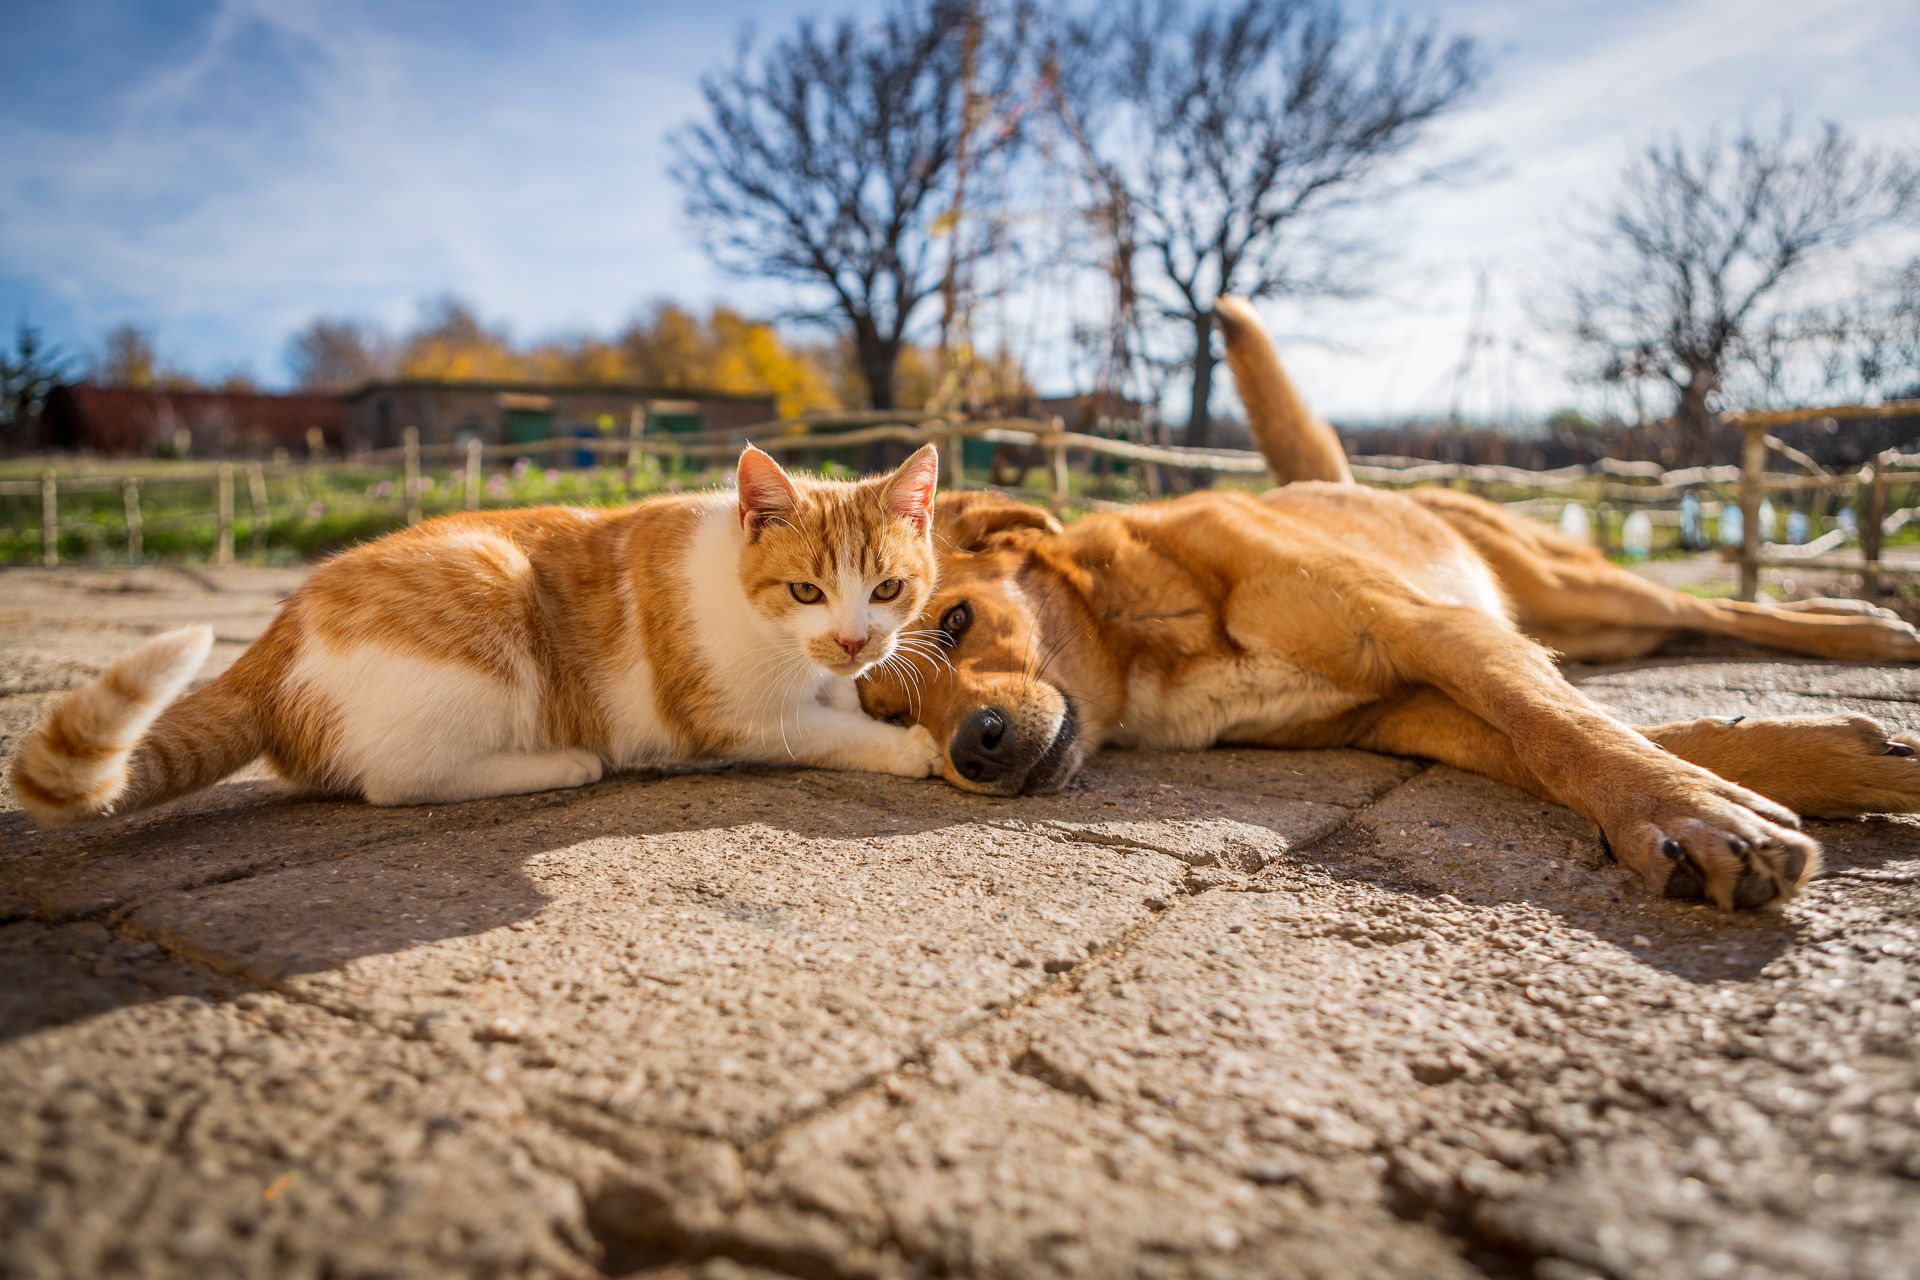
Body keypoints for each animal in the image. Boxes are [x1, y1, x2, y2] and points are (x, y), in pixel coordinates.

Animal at [13, 441, 944, 825]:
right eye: (805, 590)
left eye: (888, 589)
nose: (855, 641)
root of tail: (282, 624)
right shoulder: (736, 720)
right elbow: (824, 734)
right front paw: (911, 746)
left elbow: (841, 706)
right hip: (490, 593)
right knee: (396, 780)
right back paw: (561, 763)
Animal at [867, 297, 1920, 909]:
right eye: (887, 711)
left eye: (957, 622)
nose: (973, 750)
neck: (1139, 638)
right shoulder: (1407, 710)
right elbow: (1573, 742)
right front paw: (1817, 764)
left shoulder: (1435, 630)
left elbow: (1570, 731)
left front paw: (1698, 811)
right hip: (1577, 623)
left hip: (1569, 585)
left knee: (1713, 614)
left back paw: (1862, 629)